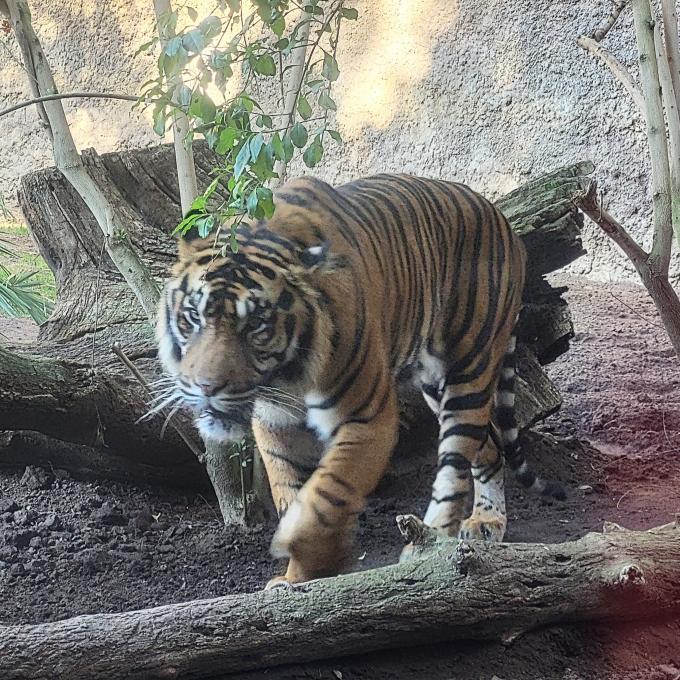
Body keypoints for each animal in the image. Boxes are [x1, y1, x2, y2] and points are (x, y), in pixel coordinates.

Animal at [158, 173, 564, 588]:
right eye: (193, 316)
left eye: (255, 324)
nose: (208, 388)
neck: (287, 376)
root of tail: (502, 219)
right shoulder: (275, 425)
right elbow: (290, 493)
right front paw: (294, 579)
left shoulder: (367, 420)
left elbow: (327, 493)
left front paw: (318, 555)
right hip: (438, 385)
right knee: (489, 447)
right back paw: (483, 522)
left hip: (470, 368)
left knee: (455, 465)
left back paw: (431, 546)